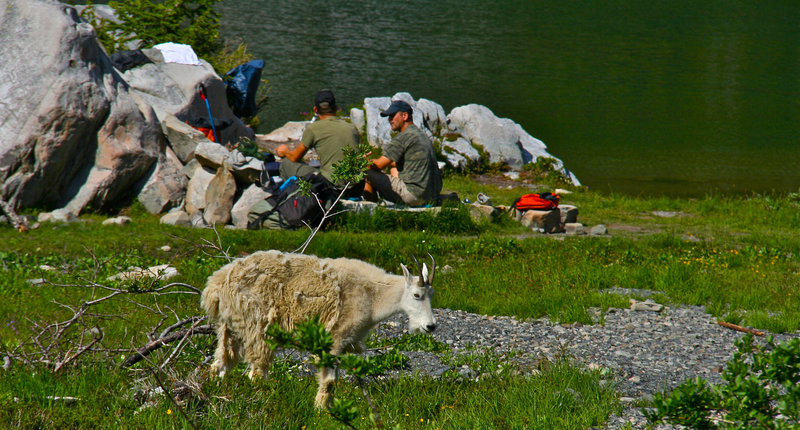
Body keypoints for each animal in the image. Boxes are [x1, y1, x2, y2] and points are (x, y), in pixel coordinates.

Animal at [200, 249, 438, 406]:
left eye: (432, 294)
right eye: (416, 295)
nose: (431, 326)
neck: (372, 296)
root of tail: (215, 285)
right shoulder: (334, 339)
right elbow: (330, 380)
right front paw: (322, 411)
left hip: (229, 325)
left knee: (220, 362)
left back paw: (215, 392)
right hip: (257, 326)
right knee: (257, 370)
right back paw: (265, 402)